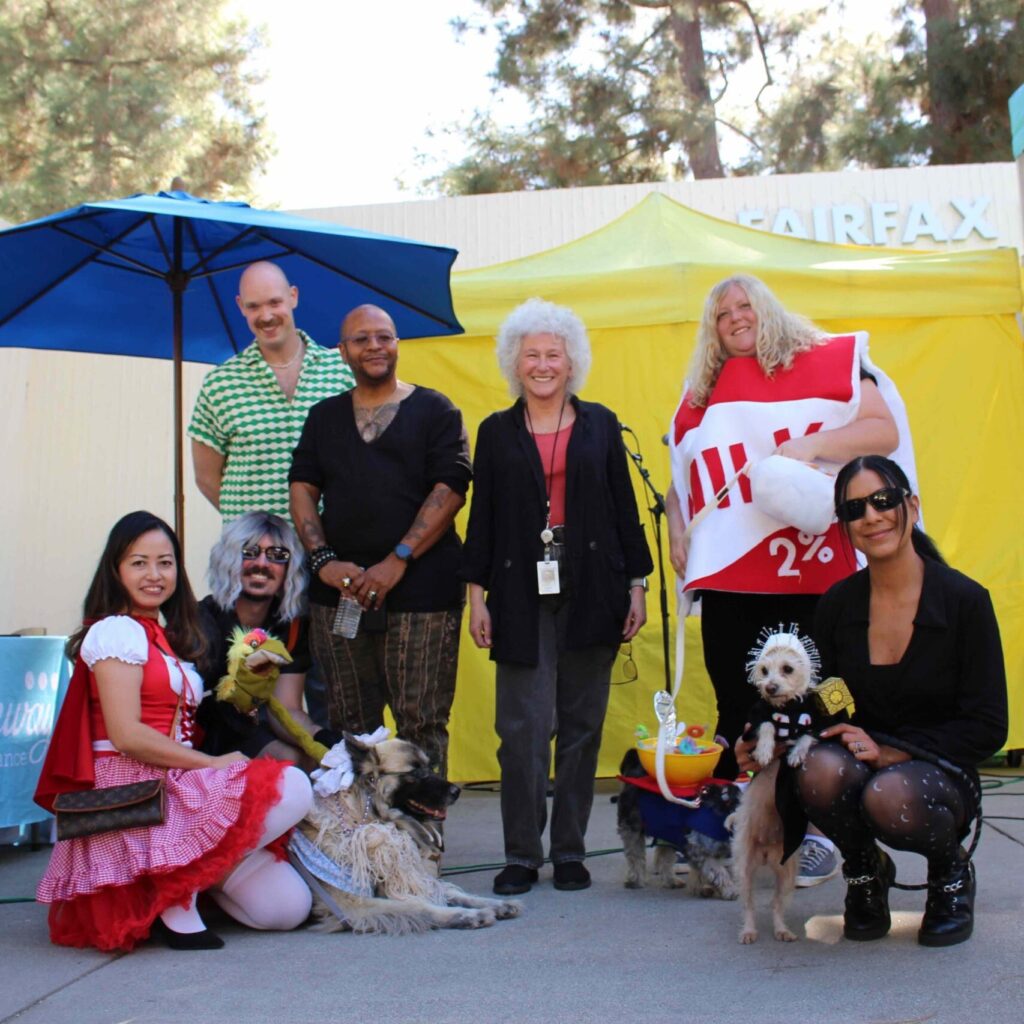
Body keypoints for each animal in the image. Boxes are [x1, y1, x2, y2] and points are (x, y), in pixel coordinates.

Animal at [294, 733, 520, 933]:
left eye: (430, 766)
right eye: (417, 773)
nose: (457, 792)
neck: (360, 818)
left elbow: (449, 891)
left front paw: (495, 904)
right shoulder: (353, 904)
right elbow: (418, 905)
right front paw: (467, 915)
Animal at [729, 626, 823, 946]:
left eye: (787, 669)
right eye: (763, 670)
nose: (769, 687)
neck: (788, 710)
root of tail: (767, 852)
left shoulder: (815, 727)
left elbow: (806, 737)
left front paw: (794, 754)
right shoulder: (755, 722)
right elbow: (768, 725)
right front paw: (766, 750)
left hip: (786, 873)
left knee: (775, 905)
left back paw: (782, 929)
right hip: (744, 868)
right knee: (749, 905)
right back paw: (748, 931)